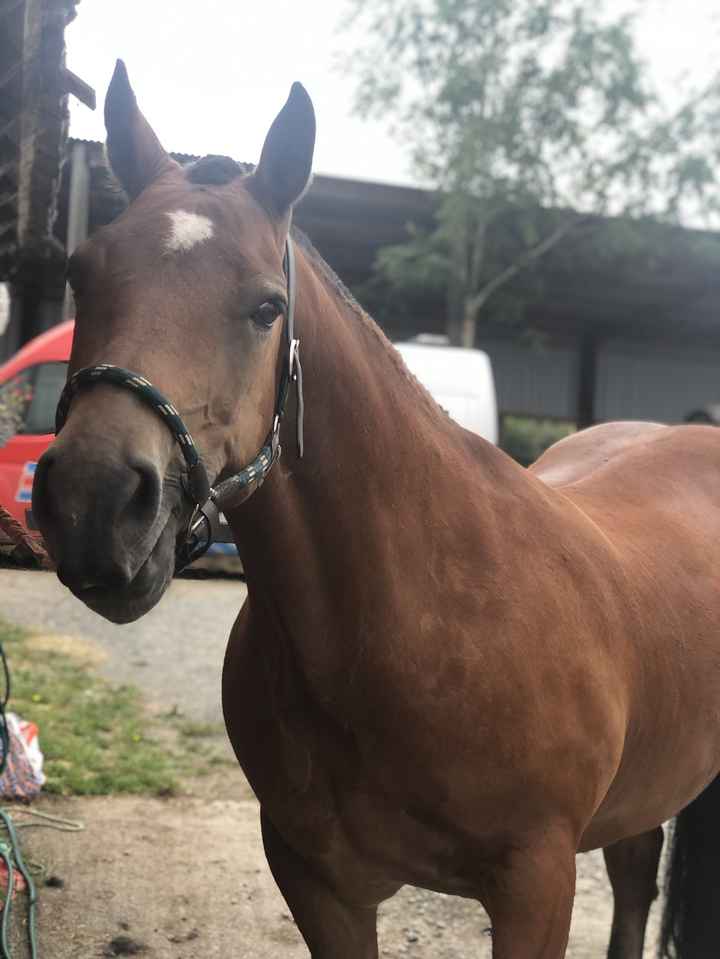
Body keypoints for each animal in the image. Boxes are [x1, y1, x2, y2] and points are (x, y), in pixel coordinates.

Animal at [31, 62, 720, 959]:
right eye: (81, 273)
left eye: (266, 306)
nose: (93, 501)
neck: (414, 619)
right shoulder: (318, 882)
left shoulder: (537, 887)